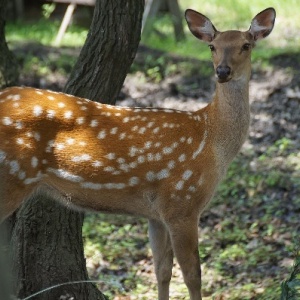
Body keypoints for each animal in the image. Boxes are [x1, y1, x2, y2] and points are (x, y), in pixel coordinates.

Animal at [0, 7, 276, 300]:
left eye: (246, 45)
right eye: (212, 46)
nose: (222, 71)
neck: (211, 138)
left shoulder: (156, 213)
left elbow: (162, 270)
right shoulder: (182, 202)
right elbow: (193, 275)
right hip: (11, 177)